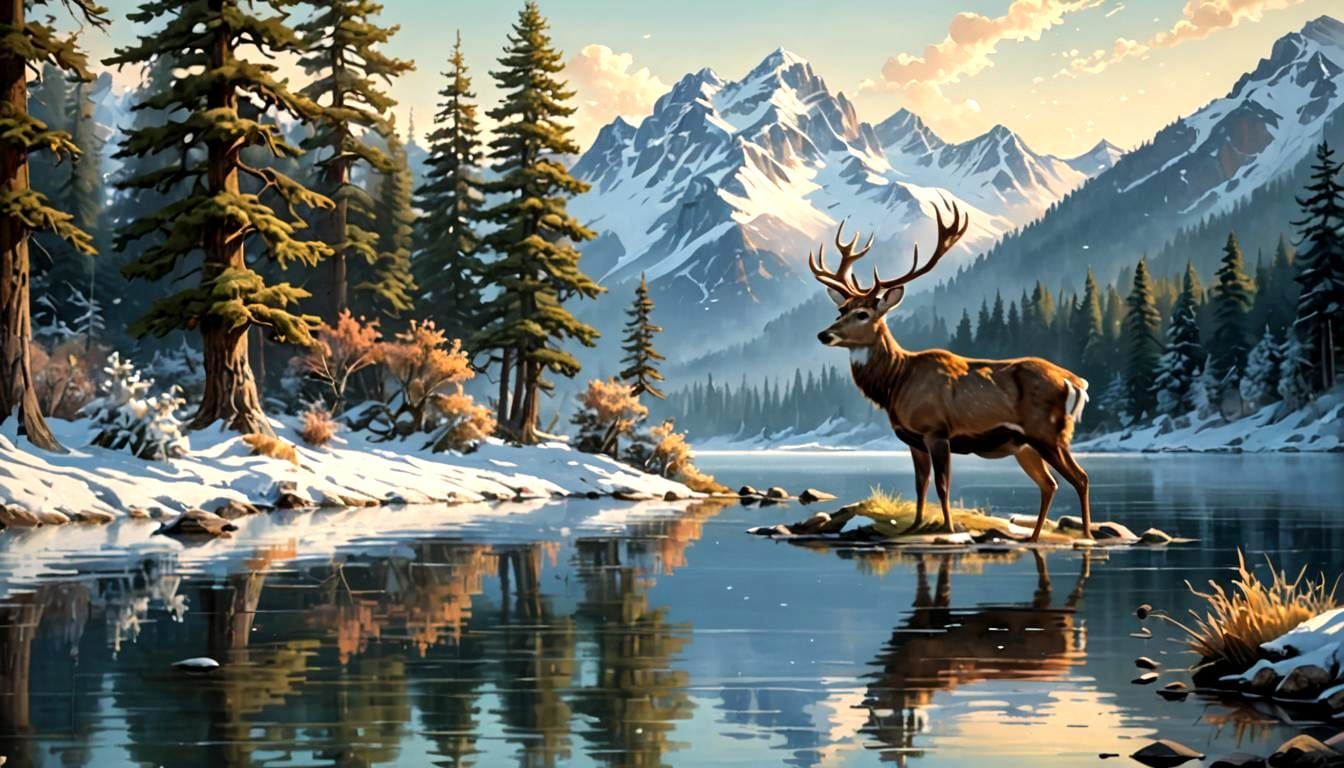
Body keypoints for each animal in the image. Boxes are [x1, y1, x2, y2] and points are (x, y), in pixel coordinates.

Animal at [810, 202, 1092, 542]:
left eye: (863, 314)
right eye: (841, 310)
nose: (824, 334)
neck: (896, 381)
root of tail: (1075, 381)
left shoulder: (936, 429)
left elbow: (943, 486)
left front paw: (948, 528)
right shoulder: (913, 439)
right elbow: (921, 485)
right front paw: (915, 526)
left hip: (1049, 432)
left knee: (1080, 477)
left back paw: (1086, 535)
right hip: (1025, 445)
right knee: (1050, 484)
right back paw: (1033, 536)